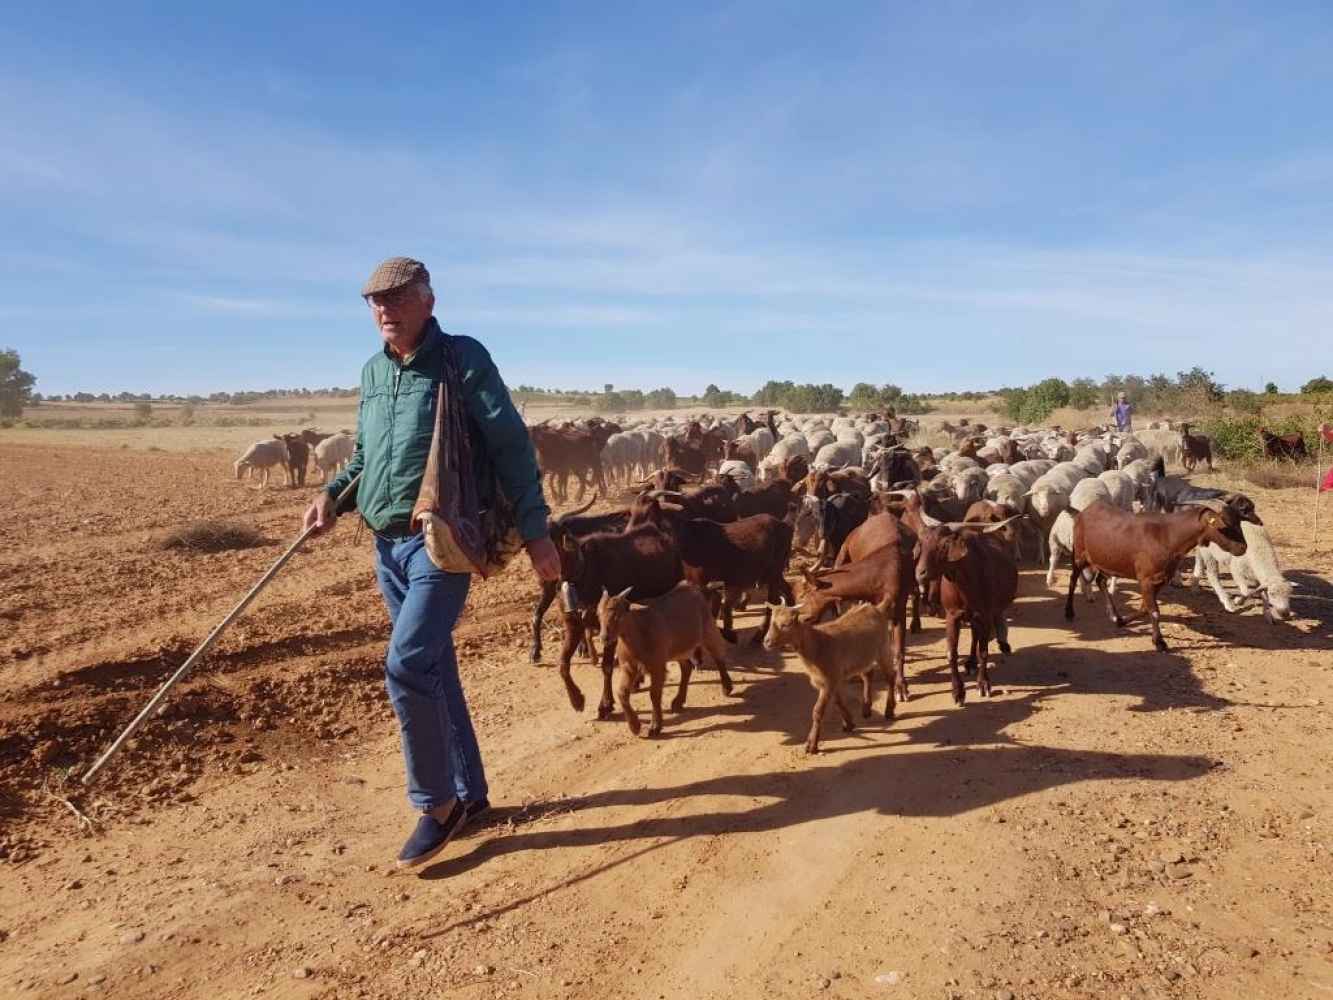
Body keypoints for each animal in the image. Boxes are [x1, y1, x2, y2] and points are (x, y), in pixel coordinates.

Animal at [1066, 498, 1242, 653]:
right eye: (1226, 524)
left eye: (1239, 522)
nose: (1243, 548)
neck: (1167, 535)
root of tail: (1085, 511)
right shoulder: (1146, 580)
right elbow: (1154, 611)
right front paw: (1160, 642)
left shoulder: (1159, 580)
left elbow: (1145, 609)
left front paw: (1122, 621)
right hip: (1080, 555)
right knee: (1073, 579)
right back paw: (1069, 612)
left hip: (1105, 561)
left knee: (1100, 580)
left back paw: (1114, 615)